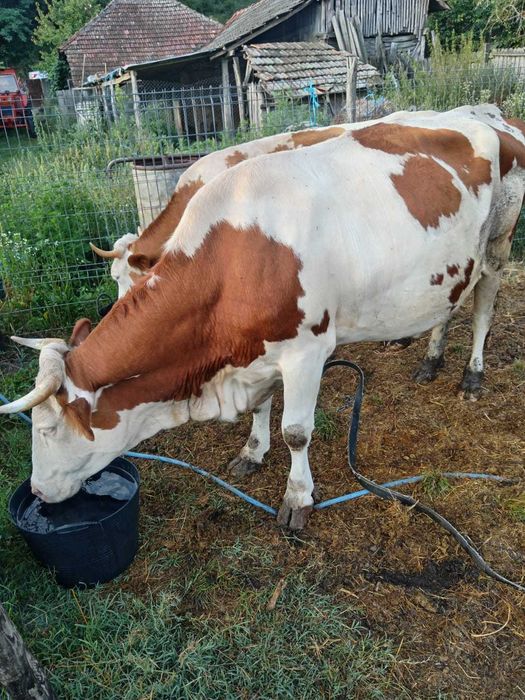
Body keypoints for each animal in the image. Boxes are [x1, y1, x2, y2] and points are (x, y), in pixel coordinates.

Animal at [2, 110, 524, 532]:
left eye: (46, 431)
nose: (40, 491)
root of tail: (489, 115)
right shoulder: (255, 351)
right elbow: (260, 409)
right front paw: (252, 452)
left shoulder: (307, 350)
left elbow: (296, 431)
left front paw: (297, 498)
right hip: (449, 267)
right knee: (449, 304)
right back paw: (430, 360)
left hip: (497, 244)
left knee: (484, 305)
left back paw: (471, 375)